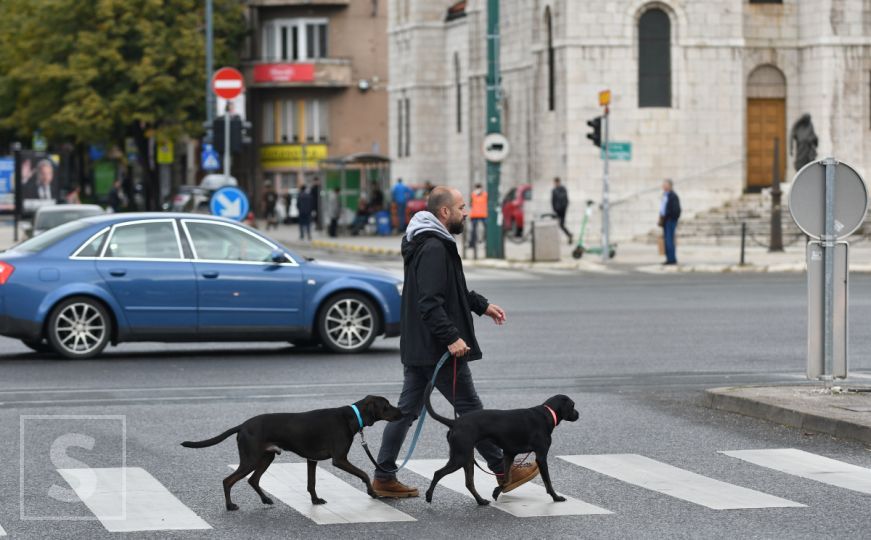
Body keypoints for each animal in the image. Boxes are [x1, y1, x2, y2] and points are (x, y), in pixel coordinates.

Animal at [183, 394, 406, 508]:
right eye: (386, 405)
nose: (403, 413)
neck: (351, 416)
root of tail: (242, 426)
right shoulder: (340, 459)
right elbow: (364, 473)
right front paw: (372, 492)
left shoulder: (312, 460)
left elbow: (311, 483)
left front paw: (315, 500)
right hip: (251, 459)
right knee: (228, 480)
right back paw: (230, 506)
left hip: (266, 457)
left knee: (253, 480)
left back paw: (265, 499)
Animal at [424, 388, 580, 506]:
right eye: (573, 405)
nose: (578, 414)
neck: (547, 413)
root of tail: (455, 422)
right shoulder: (541, 457)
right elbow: (547, 481)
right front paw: (556, 497)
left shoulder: (509, 454)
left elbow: (506, 478)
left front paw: (496, 492)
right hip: (460, 457)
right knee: (438, 473)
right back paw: (429, 495)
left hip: (467, 458)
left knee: (469, 483)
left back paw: (481, 501)